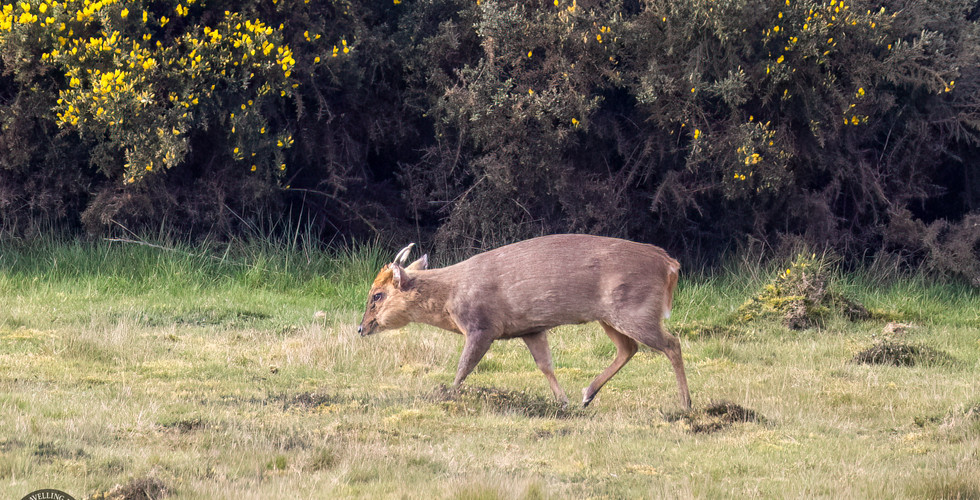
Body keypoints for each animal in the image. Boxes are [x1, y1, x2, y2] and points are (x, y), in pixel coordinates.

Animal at [357, 234, 691, 409]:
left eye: (377, 295)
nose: (361, 327)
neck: (450, 298)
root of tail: (671, 265)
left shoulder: (481, 326)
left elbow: (464, 367)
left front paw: (446, 396)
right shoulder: (531, 328)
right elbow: (545, 365)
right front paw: (563, 401)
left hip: (634, 309)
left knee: (671, 343)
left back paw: (685, 404)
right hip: (611, 316)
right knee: (628, 348)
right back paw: (587, 395)